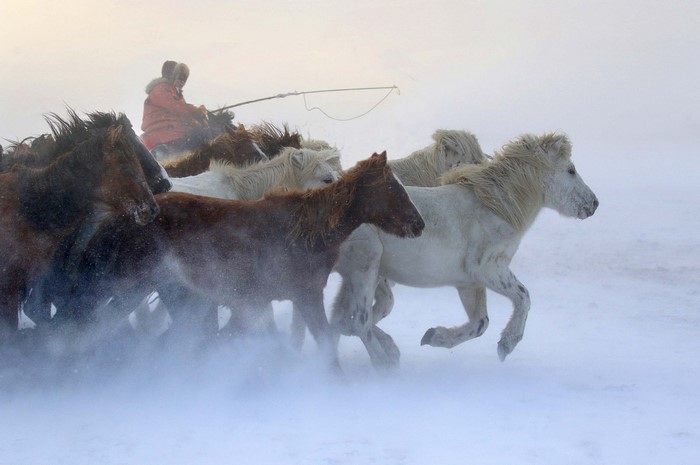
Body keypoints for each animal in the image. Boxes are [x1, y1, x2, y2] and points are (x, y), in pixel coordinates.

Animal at [43, 152, 425, 369]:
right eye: (393, 189)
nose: (418, 224)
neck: (306, 230)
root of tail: (123, 218)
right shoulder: (302, 296)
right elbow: (324, 341)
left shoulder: (258, 301)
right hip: (130, 290)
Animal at [329, 132, 599, 369]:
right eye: (571, 170)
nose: (594, 204)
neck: (494, 209)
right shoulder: (489, 268)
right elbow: (523, 297)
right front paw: (507, 344)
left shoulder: (470, 283)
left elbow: (480, 323)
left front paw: (434, 336)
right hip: (365, 269)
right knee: (358, 321)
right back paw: (383, 363)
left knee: (343, 321)